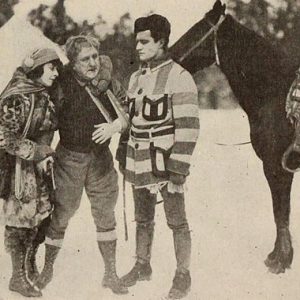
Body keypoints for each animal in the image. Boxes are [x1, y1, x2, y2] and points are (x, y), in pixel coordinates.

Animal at [170, 0, 298, 274]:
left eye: (198, 29)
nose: (170, 55)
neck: (273, 92)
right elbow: (281, 211)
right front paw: (278, 256)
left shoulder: (275, 165)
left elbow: (280, 210)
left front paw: (280, 260)